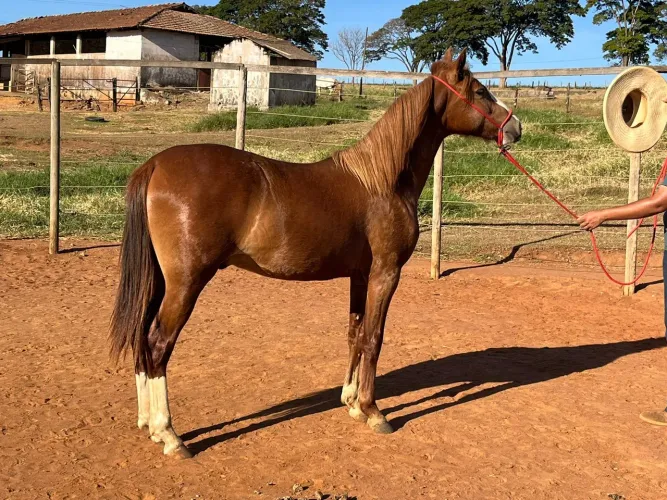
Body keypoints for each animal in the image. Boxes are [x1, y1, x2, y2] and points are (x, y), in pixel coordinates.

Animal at [109, 48, 522, 458]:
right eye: (481, 91)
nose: (516, 128)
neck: (382, 180)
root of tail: (155, 165)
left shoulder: (361, 275)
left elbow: (355, 333)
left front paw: (352, 402)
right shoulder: (386, 273)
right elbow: (374, 338)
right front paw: (374, 412)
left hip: (159, 281)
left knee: (142, 341)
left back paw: (147, 424)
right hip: (185, 283)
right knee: (158, 345)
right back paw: (169, 434)